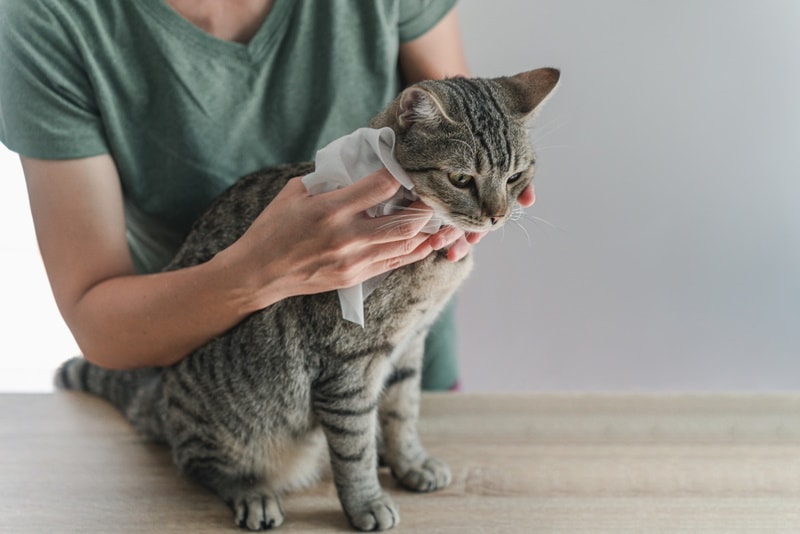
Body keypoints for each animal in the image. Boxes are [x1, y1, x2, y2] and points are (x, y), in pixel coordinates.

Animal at [53, 68, 560, 532]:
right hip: (223, 424)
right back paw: (251, 493)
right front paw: (366, 503)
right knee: (198, 464)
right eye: (460, 178)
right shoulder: (349, 365)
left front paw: (410, 462)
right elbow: (354, 448)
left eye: (516, 176)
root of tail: (161, 403)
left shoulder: (409, 345)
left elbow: (403, 412)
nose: (496, 216)